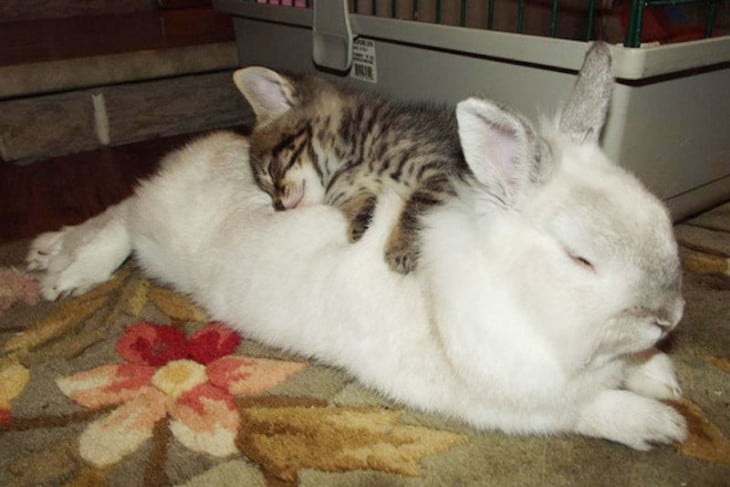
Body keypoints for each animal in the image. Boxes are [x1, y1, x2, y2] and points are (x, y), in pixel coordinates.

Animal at [236, 67, 470, 274]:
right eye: (266, 190)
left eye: (270, 170)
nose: (278, 205)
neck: (348, 165)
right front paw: (361, 219)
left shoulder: (441, 166)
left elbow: (418, 204)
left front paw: (401, 246)